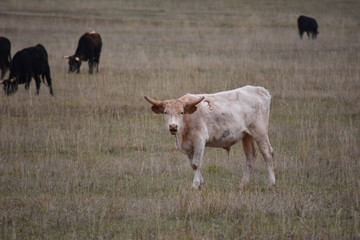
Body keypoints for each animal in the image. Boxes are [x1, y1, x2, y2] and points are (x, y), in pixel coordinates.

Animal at [145, 86, 274, 189]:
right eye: (165, 112)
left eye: (181, 112)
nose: (173, 126)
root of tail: (260, 90)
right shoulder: (188, 147)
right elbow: (192, 165)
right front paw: (201, 183)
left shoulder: (199, 140)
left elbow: (196, 163)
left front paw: (195, 185)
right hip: (247, 135)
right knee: (250, 156)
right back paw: (243, 184)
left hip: (259, 132)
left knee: (267, 153)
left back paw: (271, 183)